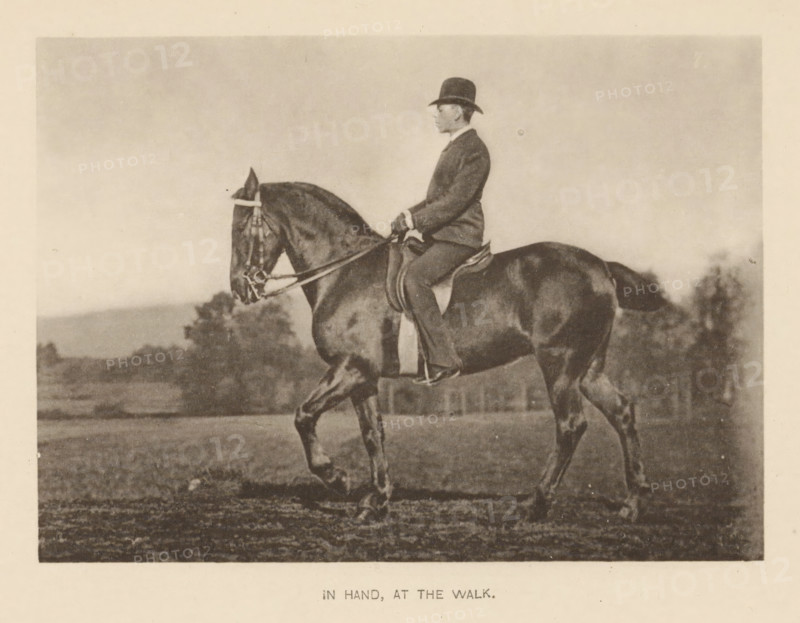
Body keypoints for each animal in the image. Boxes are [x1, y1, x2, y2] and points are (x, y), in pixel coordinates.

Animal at [229, 168, 666, 523]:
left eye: (240, 228)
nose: (238, 288)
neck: (345, 272)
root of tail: (601, 267)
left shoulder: (349, 367)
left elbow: (303, 416)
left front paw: (337, 478)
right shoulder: (363, 376)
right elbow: (373, 434)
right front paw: (377, 500)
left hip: (559, 363)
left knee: (570, 426)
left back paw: (534, 505)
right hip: (587, 368)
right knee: (622, 413)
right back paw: (633, 504)